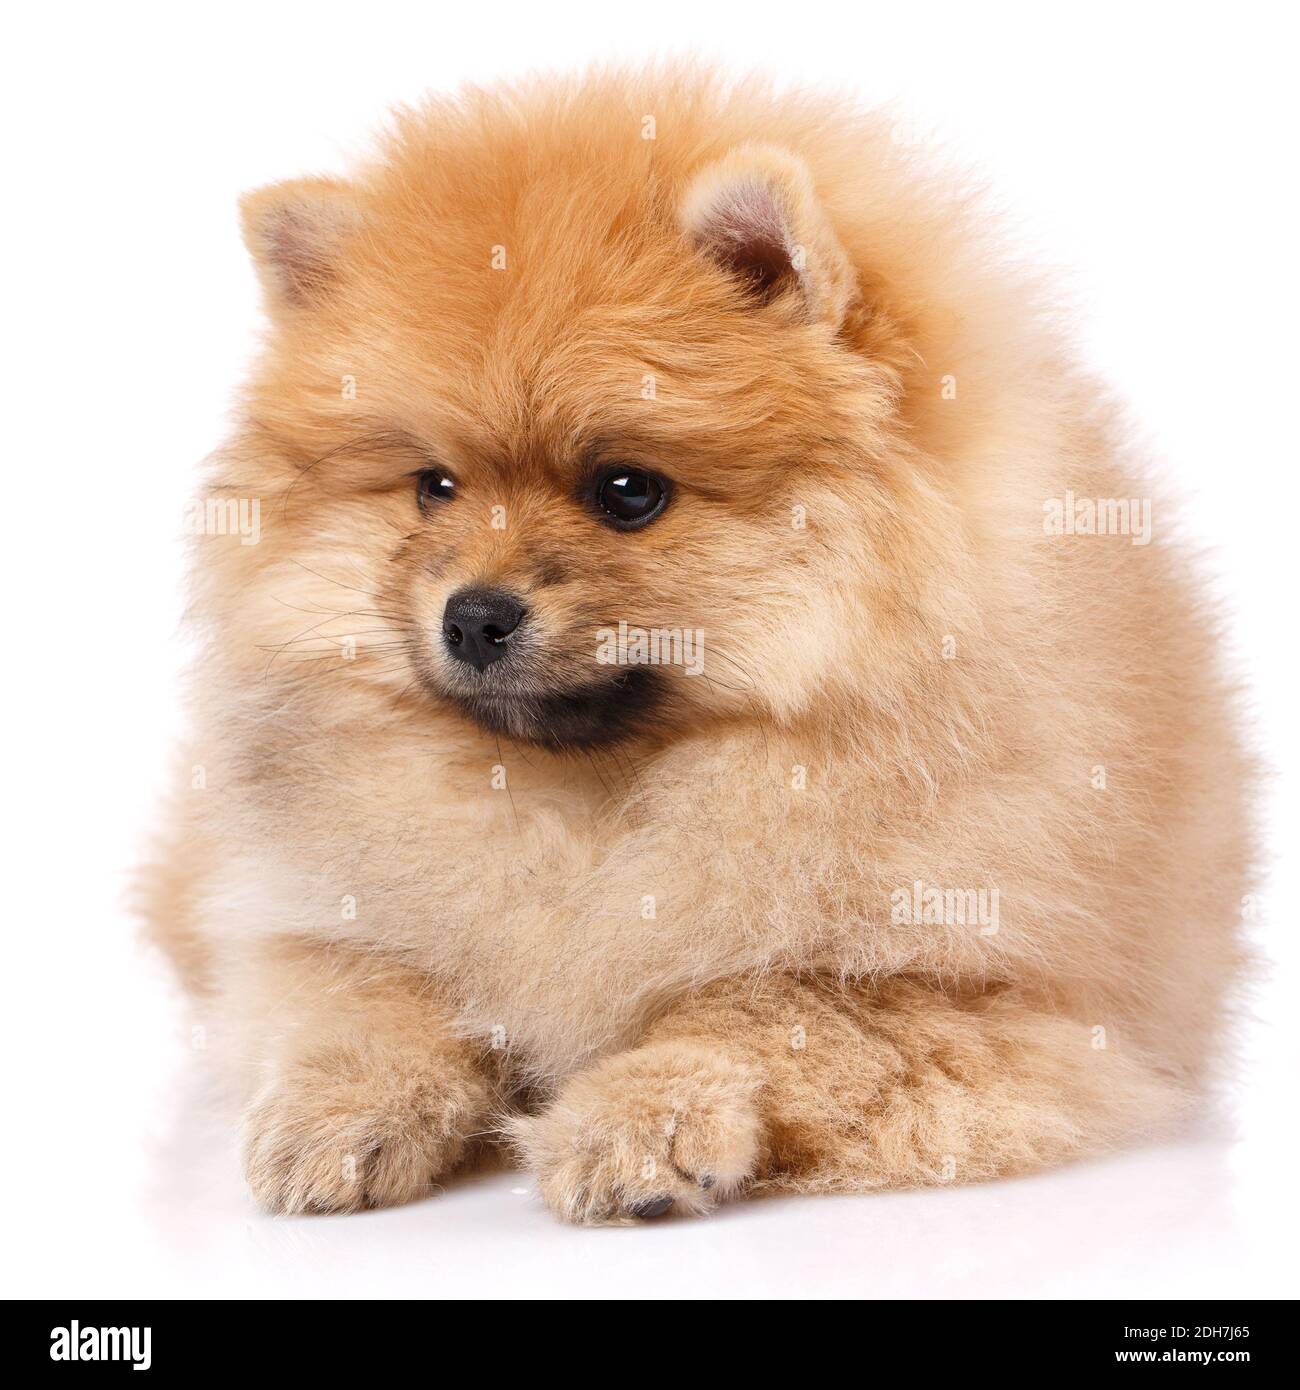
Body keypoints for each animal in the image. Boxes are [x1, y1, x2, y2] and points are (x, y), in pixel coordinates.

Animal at [139, 67, 1251, 1217]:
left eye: (628, 489)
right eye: (433, 486)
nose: (472, 612)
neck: (590, 805)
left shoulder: (982, 997)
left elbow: (765, 1009)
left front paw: (637, 1121)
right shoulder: (302, 919)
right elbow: (367, 994)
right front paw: (341, 1110)